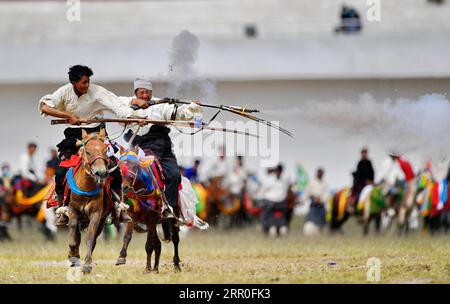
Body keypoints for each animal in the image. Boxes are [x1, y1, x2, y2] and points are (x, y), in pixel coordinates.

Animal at [66, 128, 113, 274]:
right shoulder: (73, 211)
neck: (86, 187)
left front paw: (87, 265)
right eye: (88, 151)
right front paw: (73, 256)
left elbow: (90, 238)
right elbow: (73, 238)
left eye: (105, 150)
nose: (101, 173)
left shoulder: (96, 214)